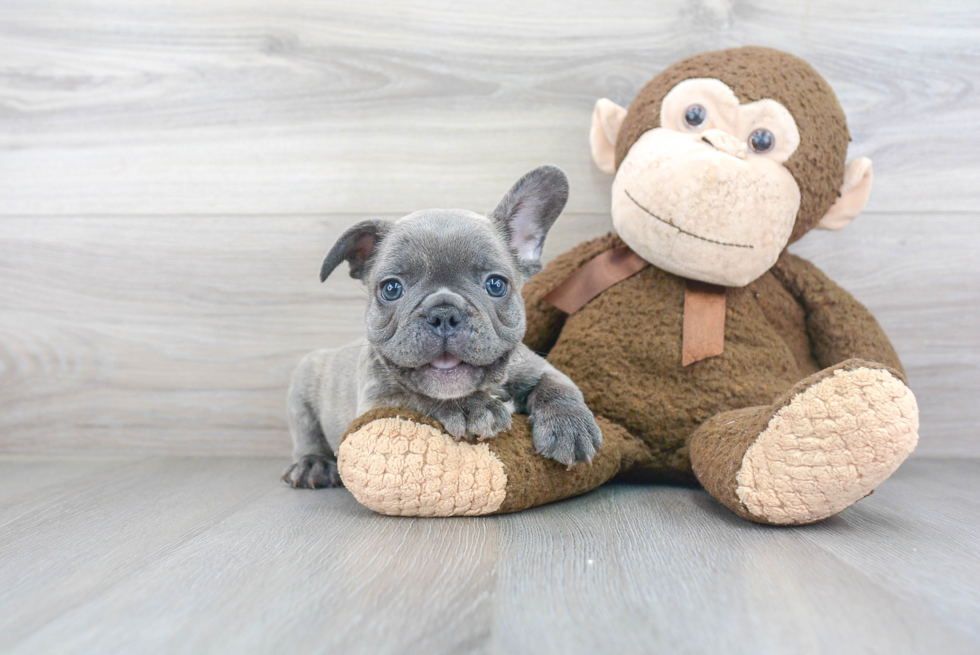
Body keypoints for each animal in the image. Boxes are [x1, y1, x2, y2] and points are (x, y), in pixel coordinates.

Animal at [282, 167, 604, 490]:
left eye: (496, 285)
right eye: (391, 289)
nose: (444, 313)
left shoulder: (538, 367)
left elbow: (557, 385)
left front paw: (570, 426)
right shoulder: (377, 405)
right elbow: (418, 398)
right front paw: (471, 407)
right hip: (303, 385)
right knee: (306, 433)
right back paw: (312, 464)